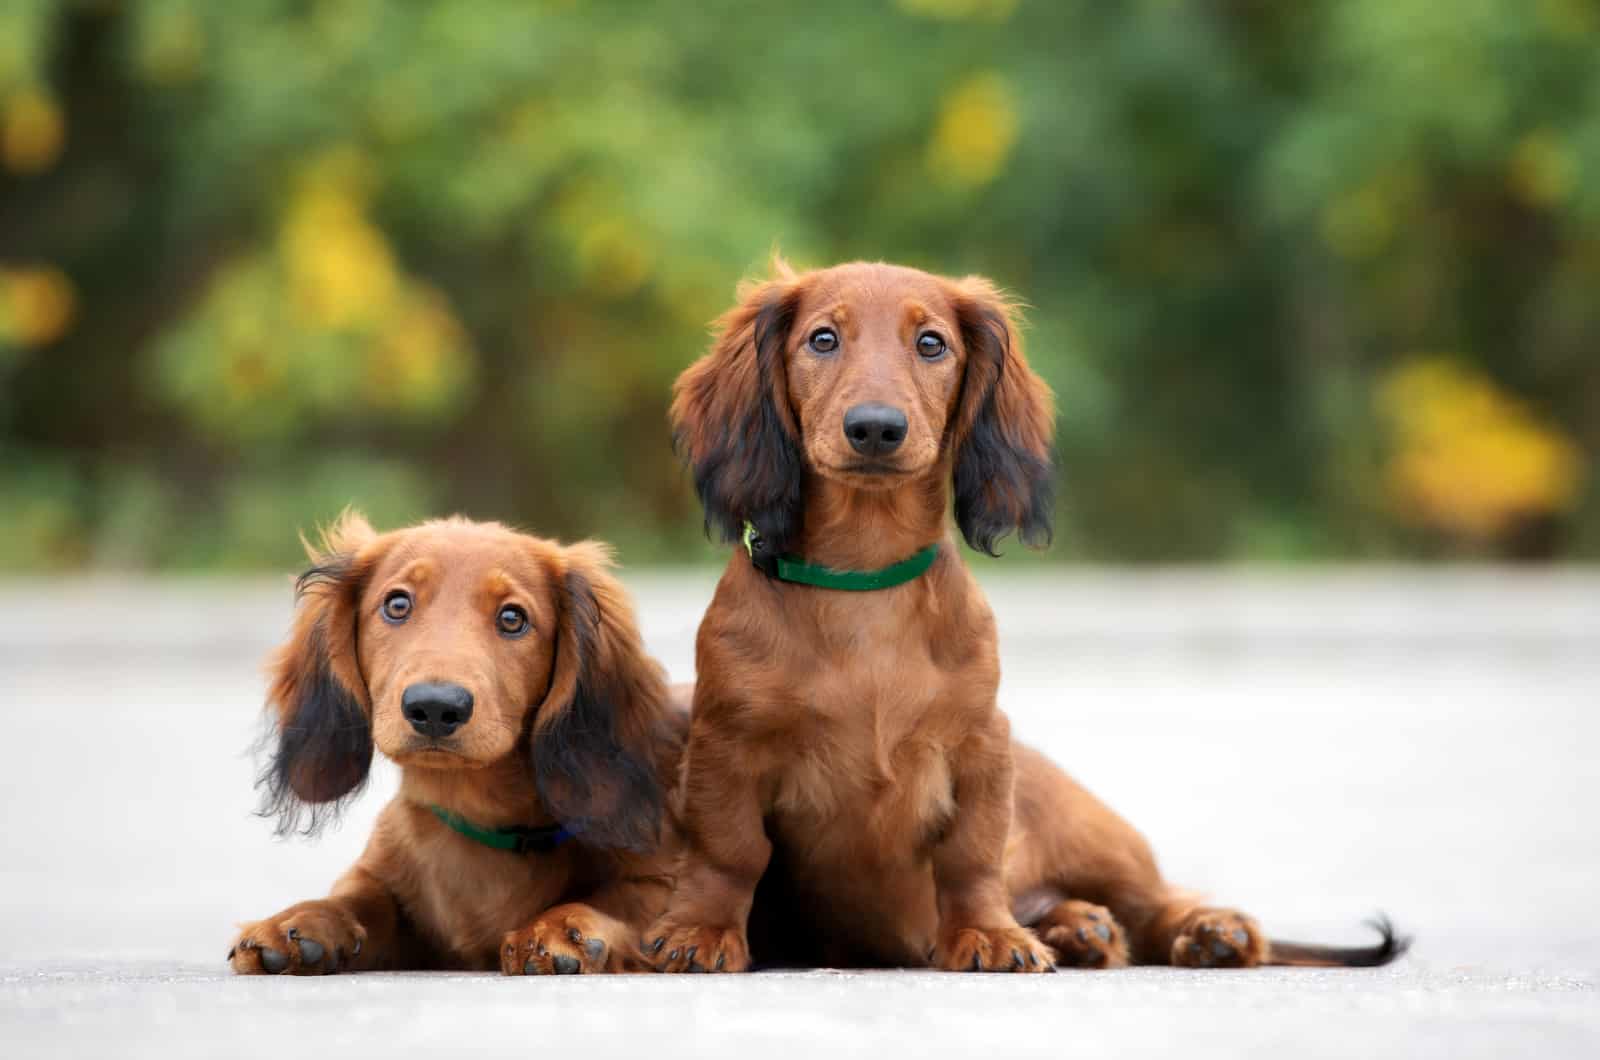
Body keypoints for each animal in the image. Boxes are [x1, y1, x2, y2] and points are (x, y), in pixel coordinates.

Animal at [227, 515, 688, 979]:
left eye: (512, 618)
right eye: (397, 605)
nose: (434, 706)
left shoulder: (665, 882)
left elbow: (625, 900)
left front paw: (556, 928)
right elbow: (358, 897)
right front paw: (299, 921)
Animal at [643, 260, 1408, 973]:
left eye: (931, 344)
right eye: (822, 339)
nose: (876, 429)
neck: (864, 579)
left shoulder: (982, 742)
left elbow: (972, 859)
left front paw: (989, 934)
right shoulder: (727, 744)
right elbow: (730, 850)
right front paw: (700, 930)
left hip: (1090, 833)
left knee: (1155, 899)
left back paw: (1209, 931)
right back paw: (1081, 928)